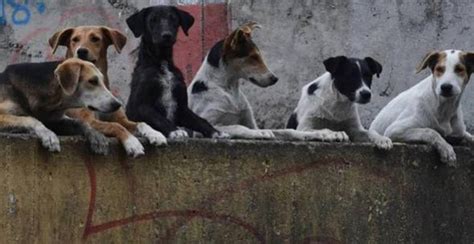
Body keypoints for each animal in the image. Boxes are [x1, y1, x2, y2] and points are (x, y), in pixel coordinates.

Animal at [49, 25, 168, 157]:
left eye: (95, 38)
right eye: (74, 39)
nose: (81, 51)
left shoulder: (122, 119)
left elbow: (140, 123)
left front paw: (155, 134)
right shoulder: (88, 121)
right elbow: (115, 126)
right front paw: (132, 142)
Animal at [124, 6, 228, 139]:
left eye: (173, 19)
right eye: (152, 20)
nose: (167, 35)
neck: (162, 61)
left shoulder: (182, 107)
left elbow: (200, 121)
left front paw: (216, 132)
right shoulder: (141, 105)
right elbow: (158, 118)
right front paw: (175, 130)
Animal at [187, 21, 346, 142]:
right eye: (253, 57)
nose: (275, 79)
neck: (228, 89)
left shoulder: (251, 122)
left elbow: (290, 131)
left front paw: (324, 133)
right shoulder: (205, 126)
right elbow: (238, 127)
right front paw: (259, 133)